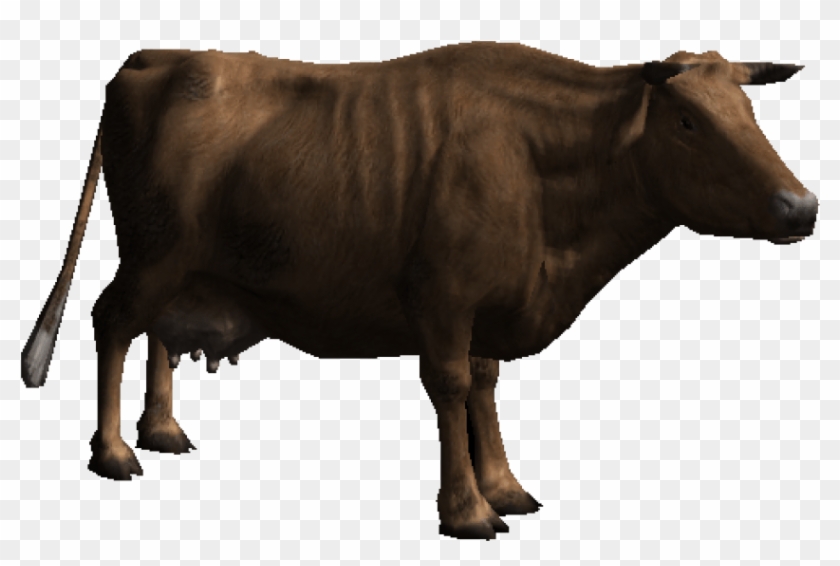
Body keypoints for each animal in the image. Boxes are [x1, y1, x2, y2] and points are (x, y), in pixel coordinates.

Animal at [21, 42, 817, 539]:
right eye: (687, 120)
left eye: (749, 113)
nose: (801, 207)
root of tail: (157, 57)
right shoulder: (443, 297)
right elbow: (452, 387)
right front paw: (467, 510)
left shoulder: (490, 305)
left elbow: (486, 386)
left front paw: (505, 486)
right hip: (153, 256)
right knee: (113, 322)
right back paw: (114, 452)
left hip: (182, 268)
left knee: (155, 330)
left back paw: (161, 431)